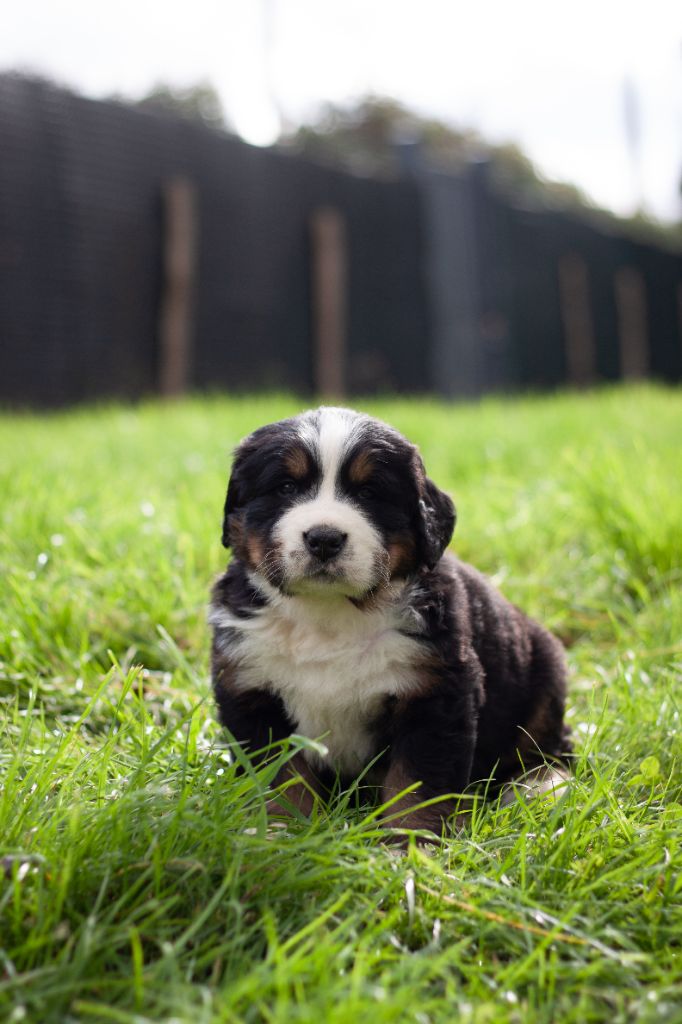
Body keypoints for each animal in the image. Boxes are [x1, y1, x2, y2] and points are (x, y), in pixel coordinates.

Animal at [206, 403, 569, 835]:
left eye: (369, 493)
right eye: (286, 488)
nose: (324, 538)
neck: (328, 615)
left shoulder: (433, 694)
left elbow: (416, 782)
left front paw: (411, 841)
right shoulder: (250, 688)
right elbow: (281, 778)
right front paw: (282, 831)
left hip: (543, 673)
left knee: (547, 748)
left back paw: (538, 786)